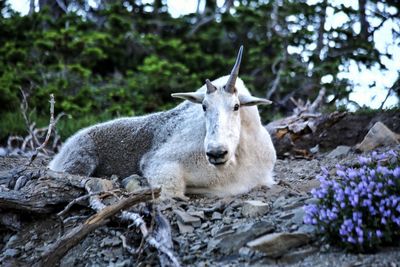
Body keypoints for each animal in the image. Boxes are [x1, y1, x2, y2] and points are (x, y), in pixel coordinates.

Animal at [49, 46, 276, 199]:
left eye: (236, 106)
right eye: (203, 106)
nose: (216, 152)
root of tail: (59, 153)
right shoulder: (161, 163)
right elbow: (169, 190)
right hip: (81, 157)